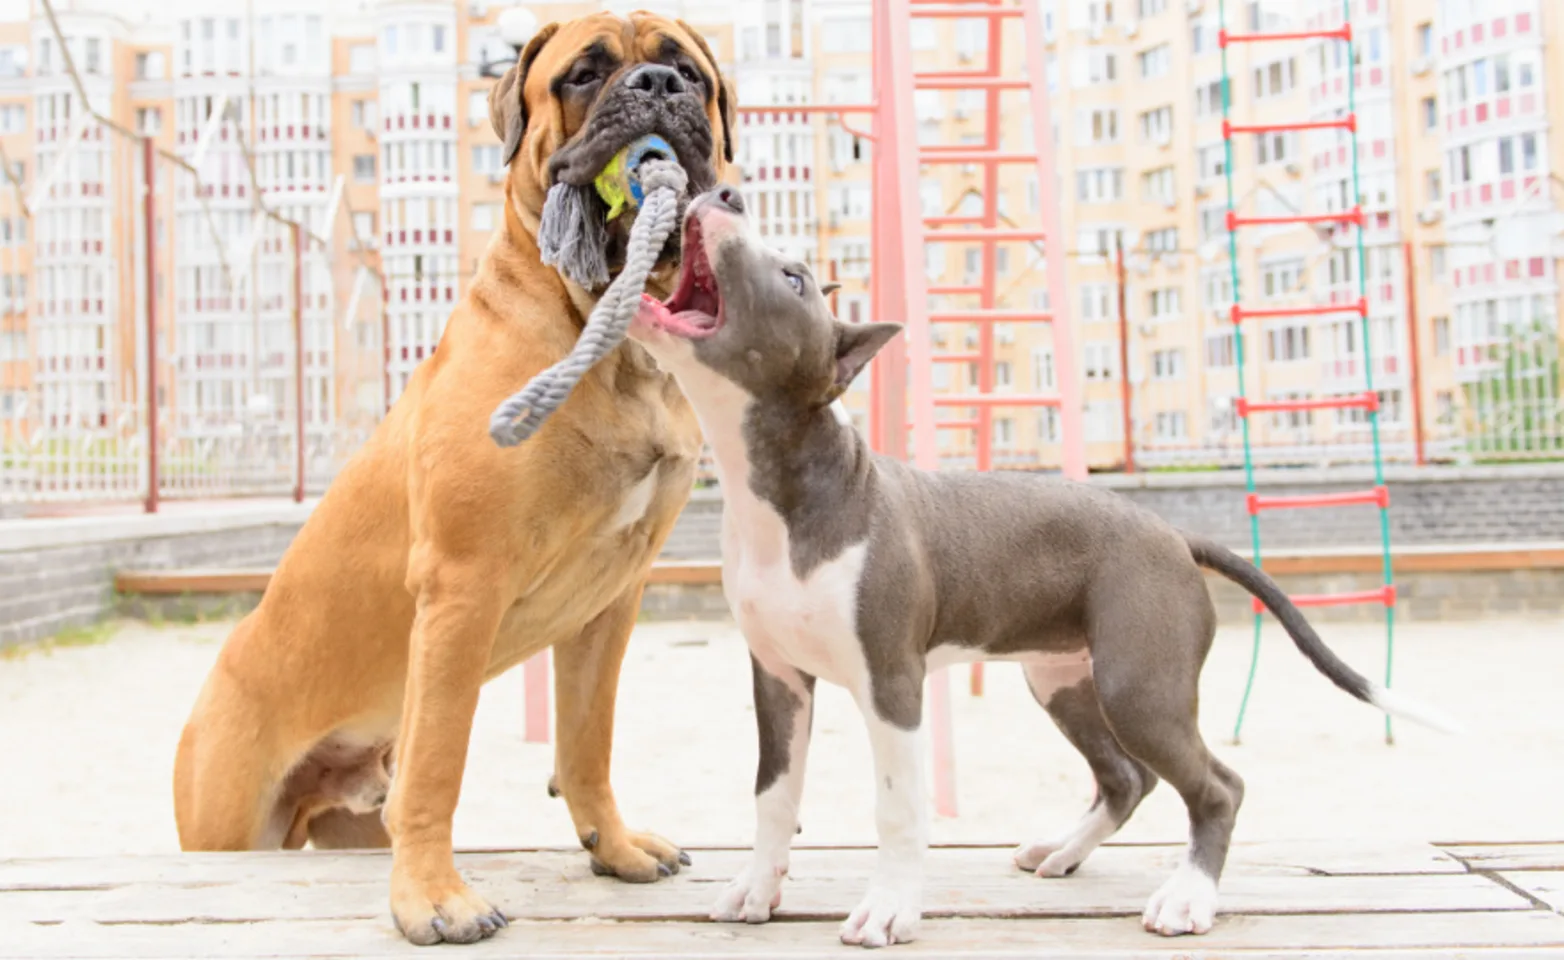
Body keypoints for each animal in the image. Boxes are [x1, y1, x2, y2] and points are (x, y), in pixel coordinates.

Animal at [174, 13, 735, 950]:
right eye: (583, 74)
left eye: (687, 71)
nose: (656, 88)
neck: (604, 337)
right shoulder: (463, 589)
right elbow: (439, 762)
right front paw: (434, 898)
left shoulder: (611, 602)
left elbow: (588, 738)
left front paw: (614, 846)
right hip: (227, 822)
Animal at [625, 186, 1451, 950]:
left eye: (793, 278)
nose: (724, 191)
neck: (783, 492)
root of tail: (1173, 533)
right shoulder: (778, 681)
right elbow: (774, 795)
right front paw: (757, 890)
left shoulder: (890, 684)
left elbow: (898, 806)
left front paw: (889, 909)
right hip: (1061, 680)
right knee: (1126, 778)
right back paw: (1063, 850)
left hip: (1138, 686)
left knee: (1216, 785)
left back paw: (1188, 898)